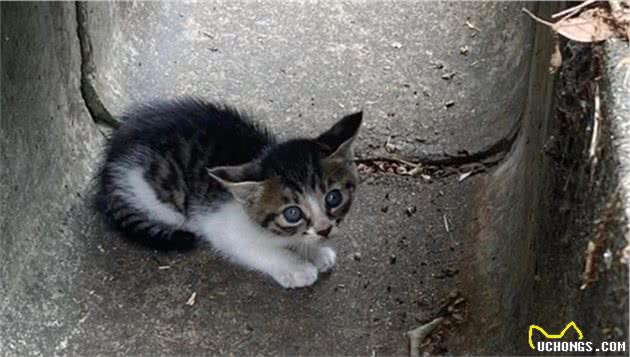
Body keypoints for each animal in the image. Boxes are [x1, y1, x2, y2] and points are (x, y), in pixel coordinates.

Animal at [99, 98, 366, 288]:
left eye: (333, 198)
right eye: (292, 213)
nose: (325, 230)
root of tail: (110, 161)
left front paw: (316, 252)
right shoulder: (221, 226)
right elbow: (257, 249)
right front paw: (297, 267)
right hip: (157, 198)